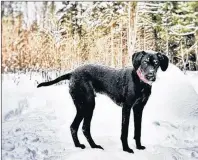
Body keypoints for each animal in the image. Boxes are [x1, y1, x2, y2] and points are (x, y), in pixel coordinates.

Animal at [37, 50, 169, 153]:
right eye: (145, 62)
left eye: (156, 63)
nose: (151, 75)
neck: (141, 83)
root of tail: (72, 73)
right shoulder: (126, 108)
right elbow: (125, 131)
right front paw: (126, 149)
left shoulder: (138, 109)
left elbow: (138, 130)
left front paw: (139, 146)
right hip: (87, 104)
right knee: (83, 127)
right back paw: (94, 146)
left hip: (83, 106)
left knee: (74, 126)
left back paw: (80, 145)